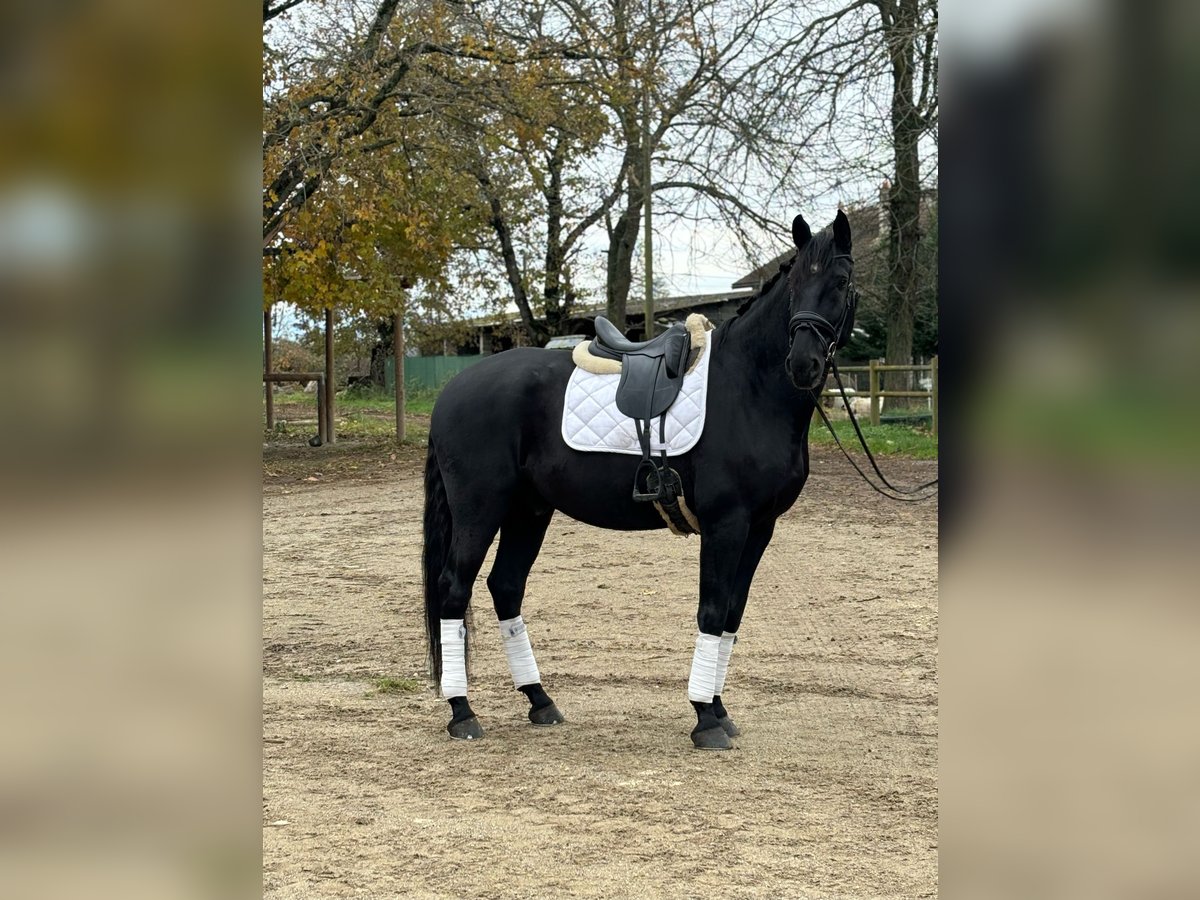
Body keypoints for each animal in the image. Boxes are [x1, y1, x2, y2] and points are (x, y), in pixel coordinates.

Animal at [422, 210, 854, 748]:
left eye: (841, 282)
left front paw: (719, 709)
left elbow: (732, 613)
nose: (803, 364)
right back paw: (462, 712)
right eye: (796, 283)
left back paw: (540, 700)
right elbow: (712, 610)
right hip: (480, 509)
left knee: (505, 586)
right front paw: (705, 719)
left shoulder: (760, 527)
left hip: (529, 511)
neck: (749, 388)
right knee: (454, 589)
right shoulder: (726, 524)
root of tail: (453, 389)